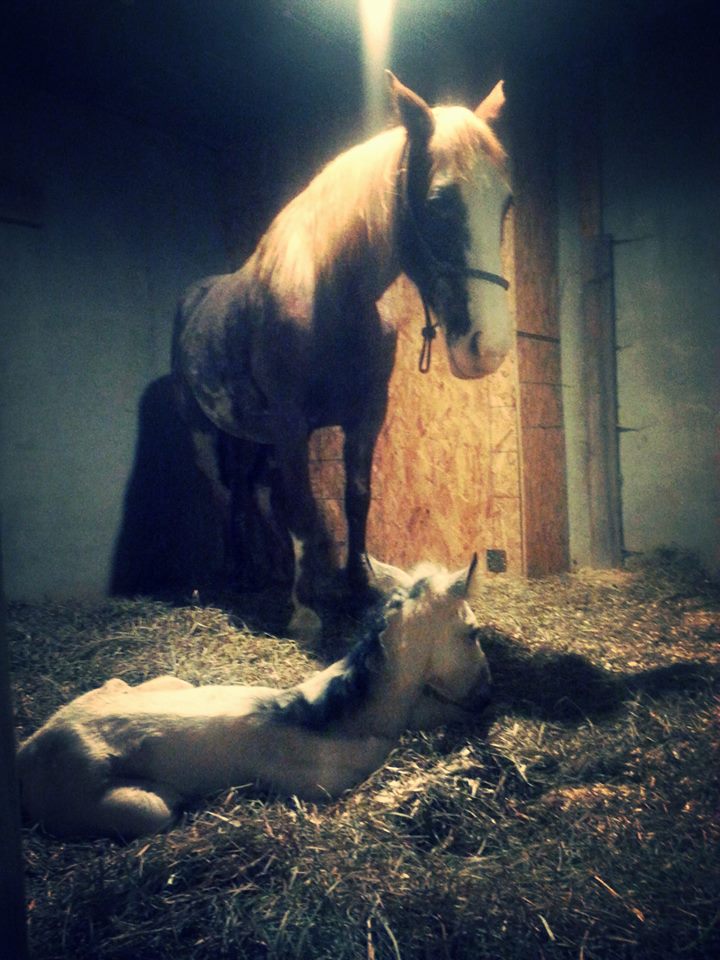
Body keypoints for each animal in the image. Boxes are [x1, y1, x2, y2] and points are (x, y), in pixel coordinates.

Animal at [18, 556, 490, 840]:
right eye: (473, 632)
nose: (485, 689)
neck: (345, 720)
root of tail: (31, 746)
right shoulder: (324, 787)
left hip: (162, 681)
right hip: (139, 808)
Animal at [173, 75, 512, 636]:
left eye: (506, 202)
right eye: (440, 201)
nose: (490, 347)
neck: (330, 293)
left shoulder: (366, 416)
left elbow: (356, 499)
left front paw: (356, 586)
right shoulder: (291, 425)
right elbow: (304, 509)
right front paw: (306, 607)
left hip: (252, 436)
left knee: (249, 493)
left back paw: (265, 572)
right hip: (206, 432)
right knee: (224, 493)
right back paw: (234, 575)